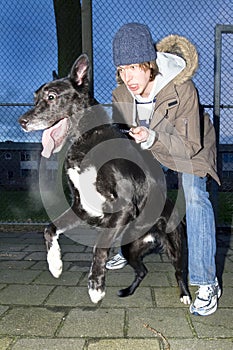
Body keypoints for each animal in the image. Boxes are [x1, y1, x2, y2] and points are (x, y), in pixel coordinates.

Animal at [18, 54, 191, 304]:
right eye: (34, 98)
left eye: (51, 97)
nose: (22, 122)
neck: (85, 139)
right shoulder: (82, 207)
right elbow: (49, 229)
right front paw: (55, 264)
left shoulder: (123, 207)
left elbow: (98, 247)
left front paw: (95, 287)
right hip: (130, 248)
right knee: (142, 270)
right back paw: (128, 290)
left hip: (174, 244)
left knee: (179, 270)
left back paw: (186, 295)